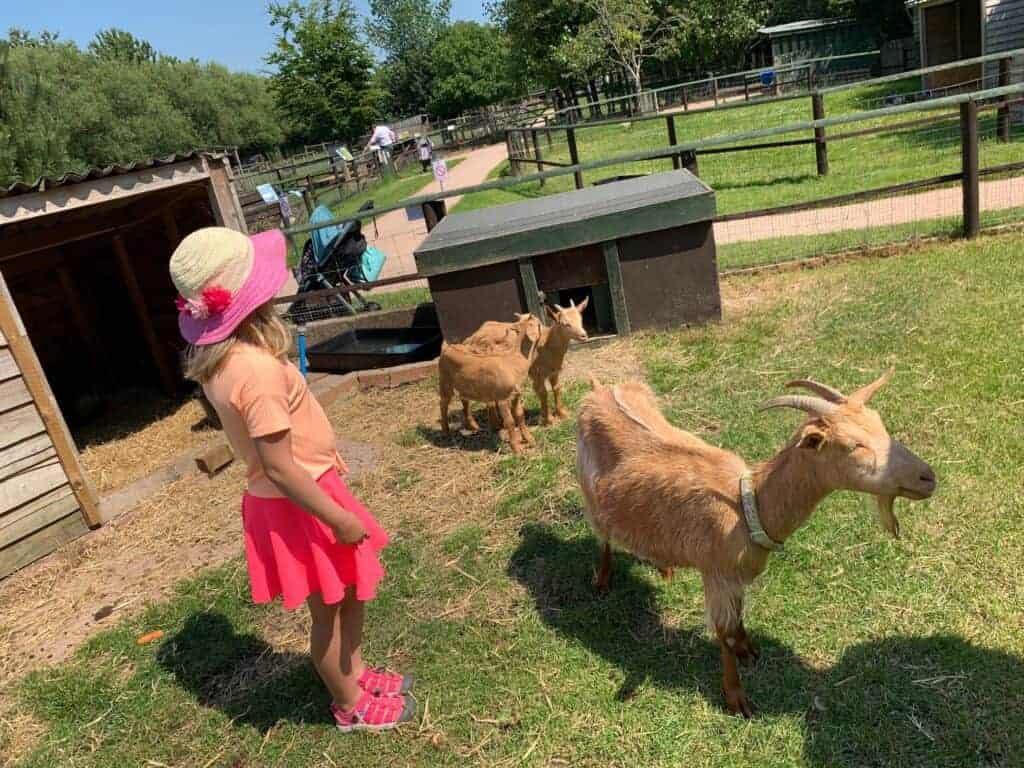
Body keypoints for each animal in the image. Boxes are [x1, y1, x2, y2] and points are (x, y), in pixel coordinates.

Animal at [436, 315, 544, 454]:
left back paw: (473, 426)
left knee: (464, 399)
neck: (512, 362)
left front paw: (530, 440)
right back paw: (446, 431)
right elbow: (509, 422)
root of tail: (446, 348)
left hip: (464, 385)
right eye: (539, 323)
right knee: (443, 403)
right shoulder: (503, 398)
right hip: (444, 380)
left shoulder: (516, 395)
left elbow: (520, 416)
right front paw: (516, 448)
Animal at [577, 370, 937, 720]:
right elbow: (723, 632)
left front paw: (748, 649)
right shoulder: (717, 576)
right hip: (588, 490)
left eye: (881, 424)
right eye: (852, 446)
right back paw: (602, 580)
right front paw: (736, 698)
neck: (748, 505)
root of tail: (599, 388)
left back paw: (664, 566)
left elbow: (739, 618)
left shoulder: (735, 577)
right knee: (603, 535)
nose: (928, 477)